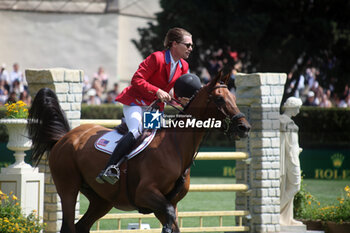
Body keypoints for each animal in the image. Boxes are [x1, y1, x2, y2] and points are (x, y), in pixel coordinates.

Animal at [28, 71, 250, 233]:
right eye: (219, 99)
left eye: (233, 96)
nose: (244, 127)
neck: (175, 147)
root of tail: (65, 137)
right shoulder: (146, 194)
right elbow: (168, 217)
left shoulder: (169, 202)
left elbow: (173, 222)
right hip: (68, 187)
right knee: (68, 226)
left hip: (101, 200)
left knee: (82, 226)